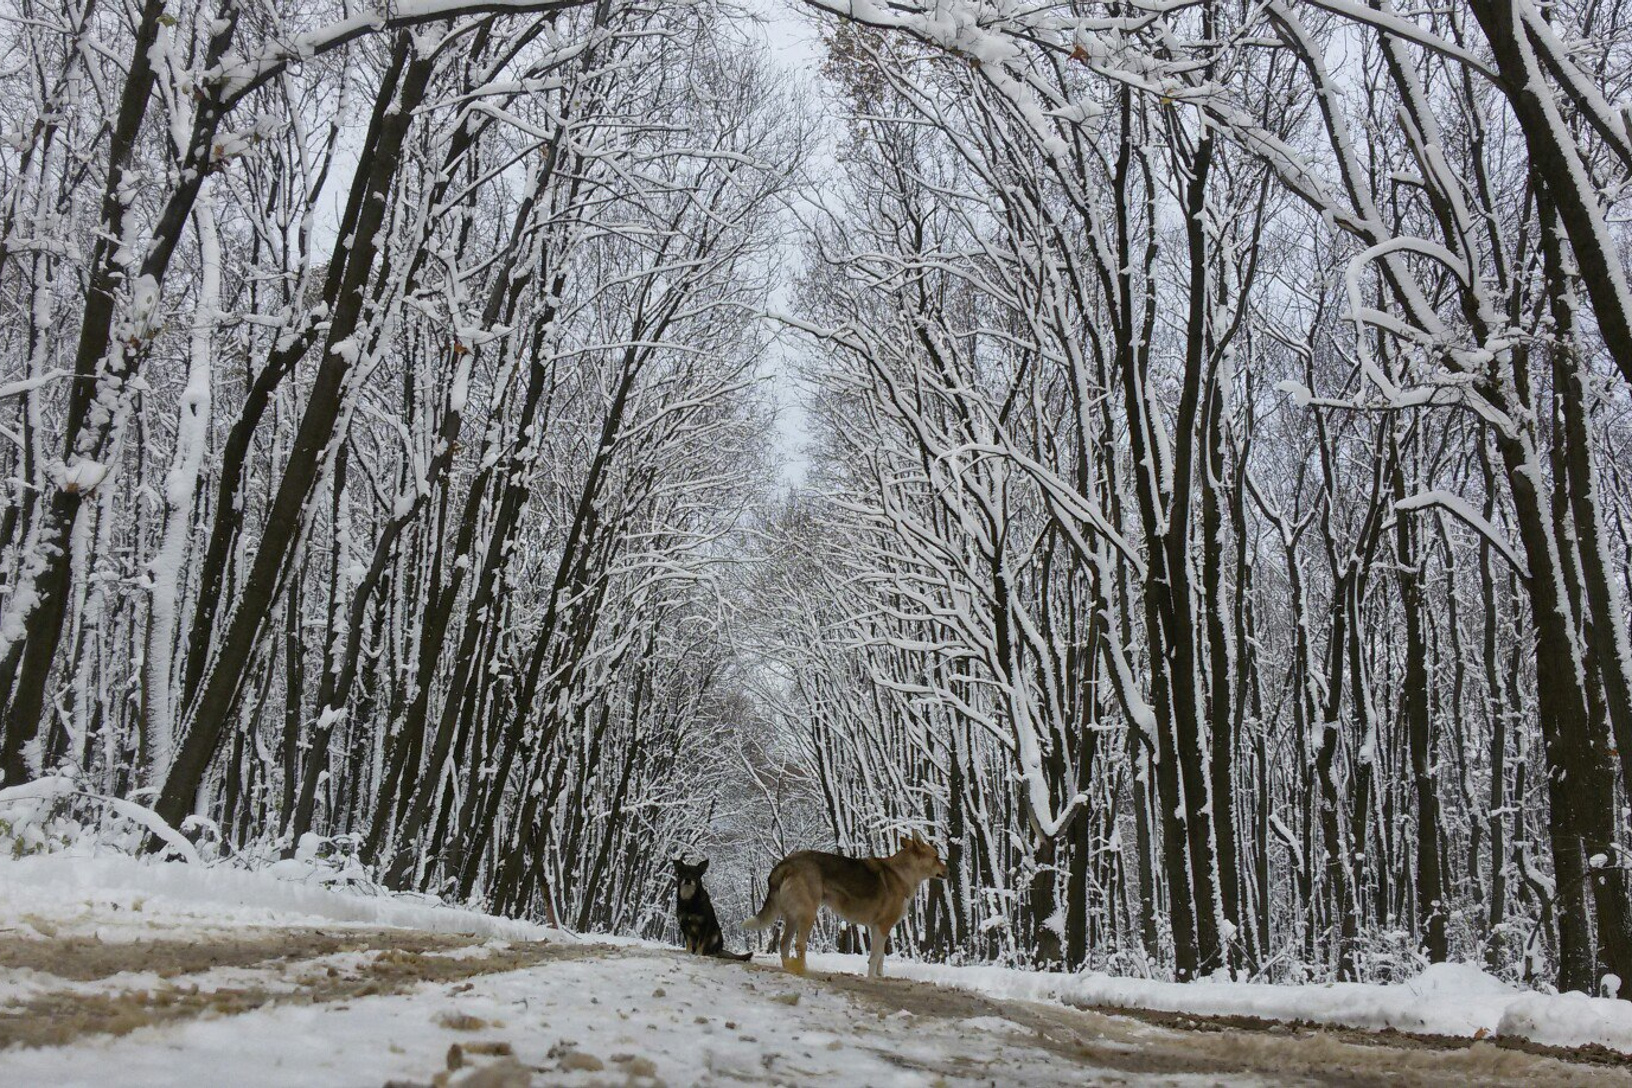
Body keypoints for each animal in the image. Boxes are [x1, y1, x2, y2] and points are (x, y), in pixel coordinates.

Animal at [740, 835, 946, 978]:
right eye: (936, 857)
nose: (948, 870)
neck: (903, 873)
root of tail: (786, 862)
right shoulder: (883, 926)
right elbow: (875, 956)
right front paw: (872, 979)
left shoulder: (877, 928)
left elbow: (880, 957)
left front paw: (880, 976)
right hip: (808, 914)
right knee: (799, 944)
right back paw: (804, 970)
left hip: (793, 917)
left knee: (784, 944)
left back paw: (790, 969)